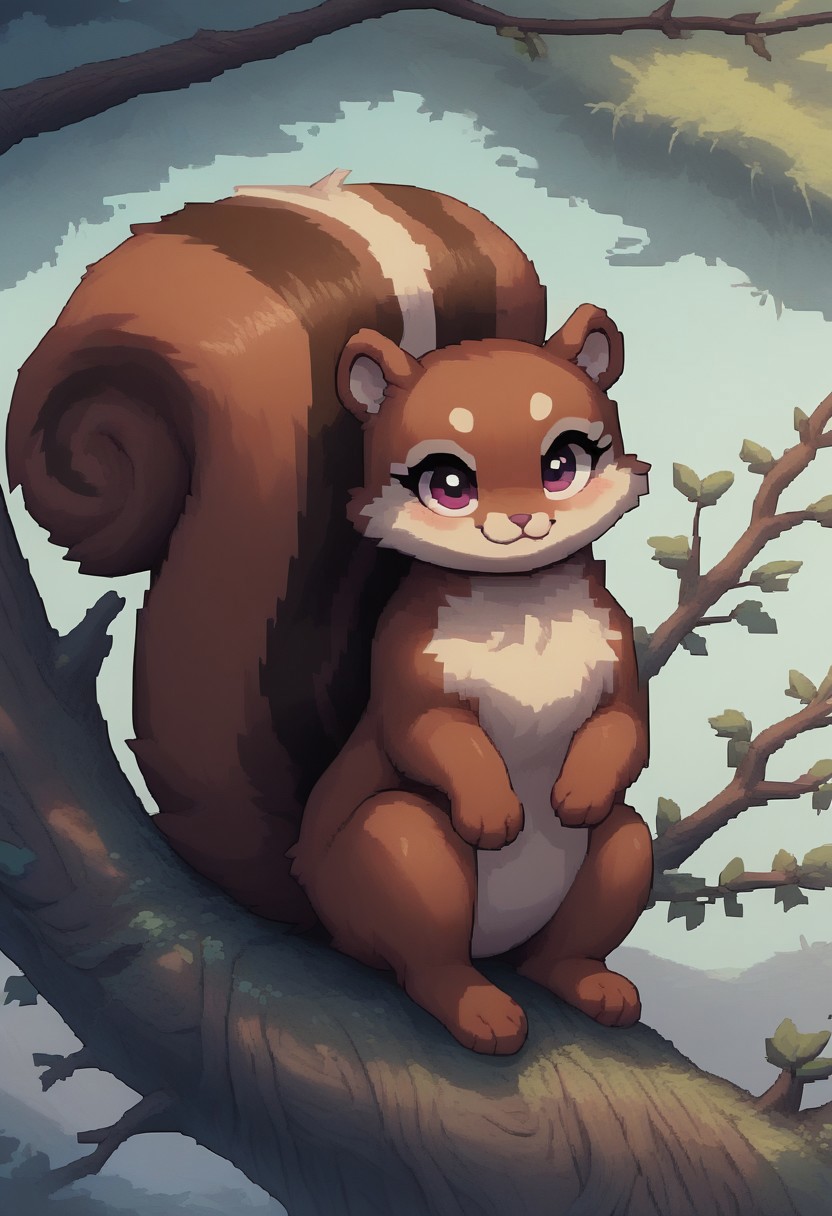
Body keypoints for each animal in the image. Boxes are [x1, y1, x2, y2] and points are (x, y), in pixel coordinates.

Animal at [288, 307, 654, 1053]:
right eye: (448, 484)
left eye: (562, 464)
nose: (519, 520)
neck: (519, 600)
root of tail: (498, 953)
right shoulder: (408, 673)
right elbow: (433, 735)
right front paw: (494, 811)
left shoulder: (618, 662)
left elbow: (625, 728)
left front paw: (575, 794)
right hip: (401, 851)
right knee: (428, 962)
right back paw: (478, 1010)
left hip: (620, 856)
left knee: (564, 943)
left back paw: (591, 985)